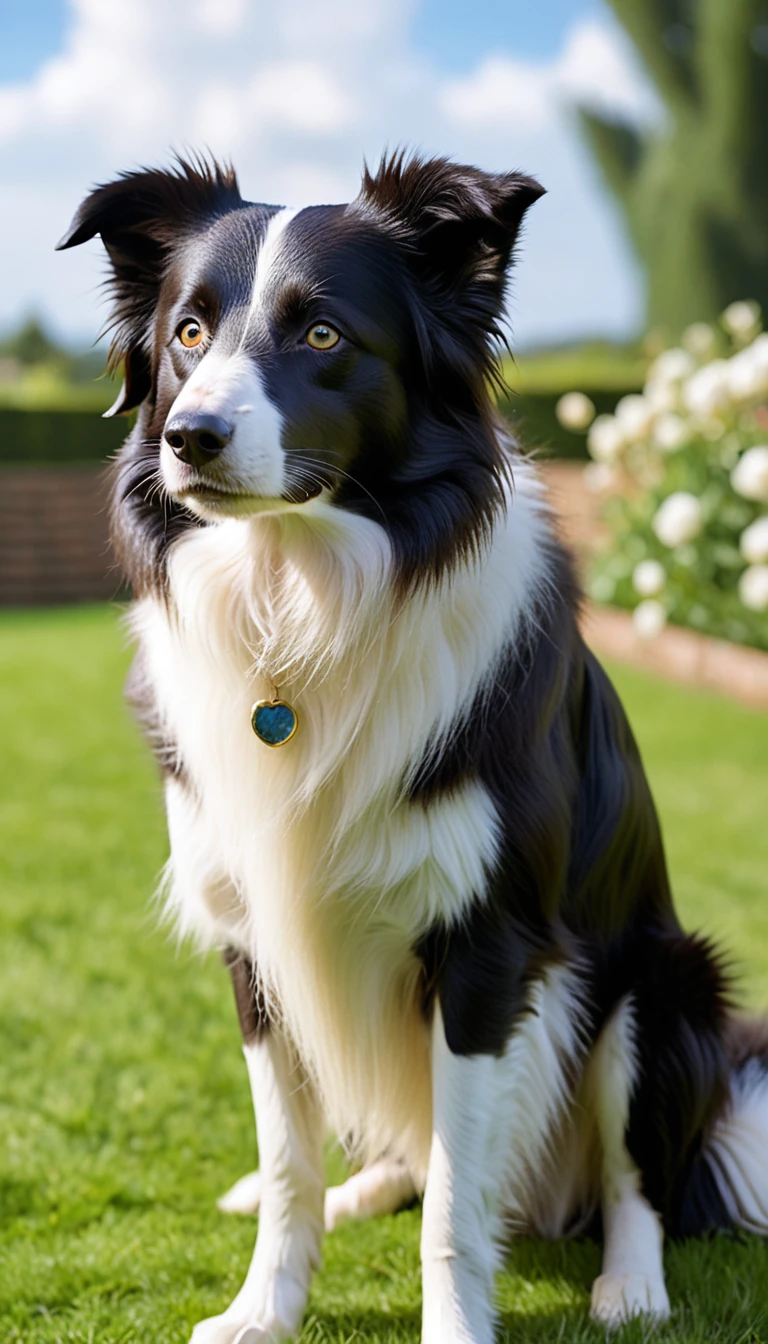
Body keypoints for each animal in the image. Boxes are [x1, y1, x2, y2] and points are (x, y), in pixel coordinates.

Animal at [58, 159, 768, 1344]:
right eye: (189, 333)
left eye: (325, 335)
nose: (188, 438)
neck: (302, 598)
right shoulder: (255, 943)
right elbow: (289, 1161)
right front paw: (263, 1308)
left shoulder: (489, 950)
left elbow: (457, 1196)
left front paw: (456, 1324)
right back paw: (362, 1191)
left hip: (657, 985)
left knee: (637, 1182)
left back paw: (630, 1285)